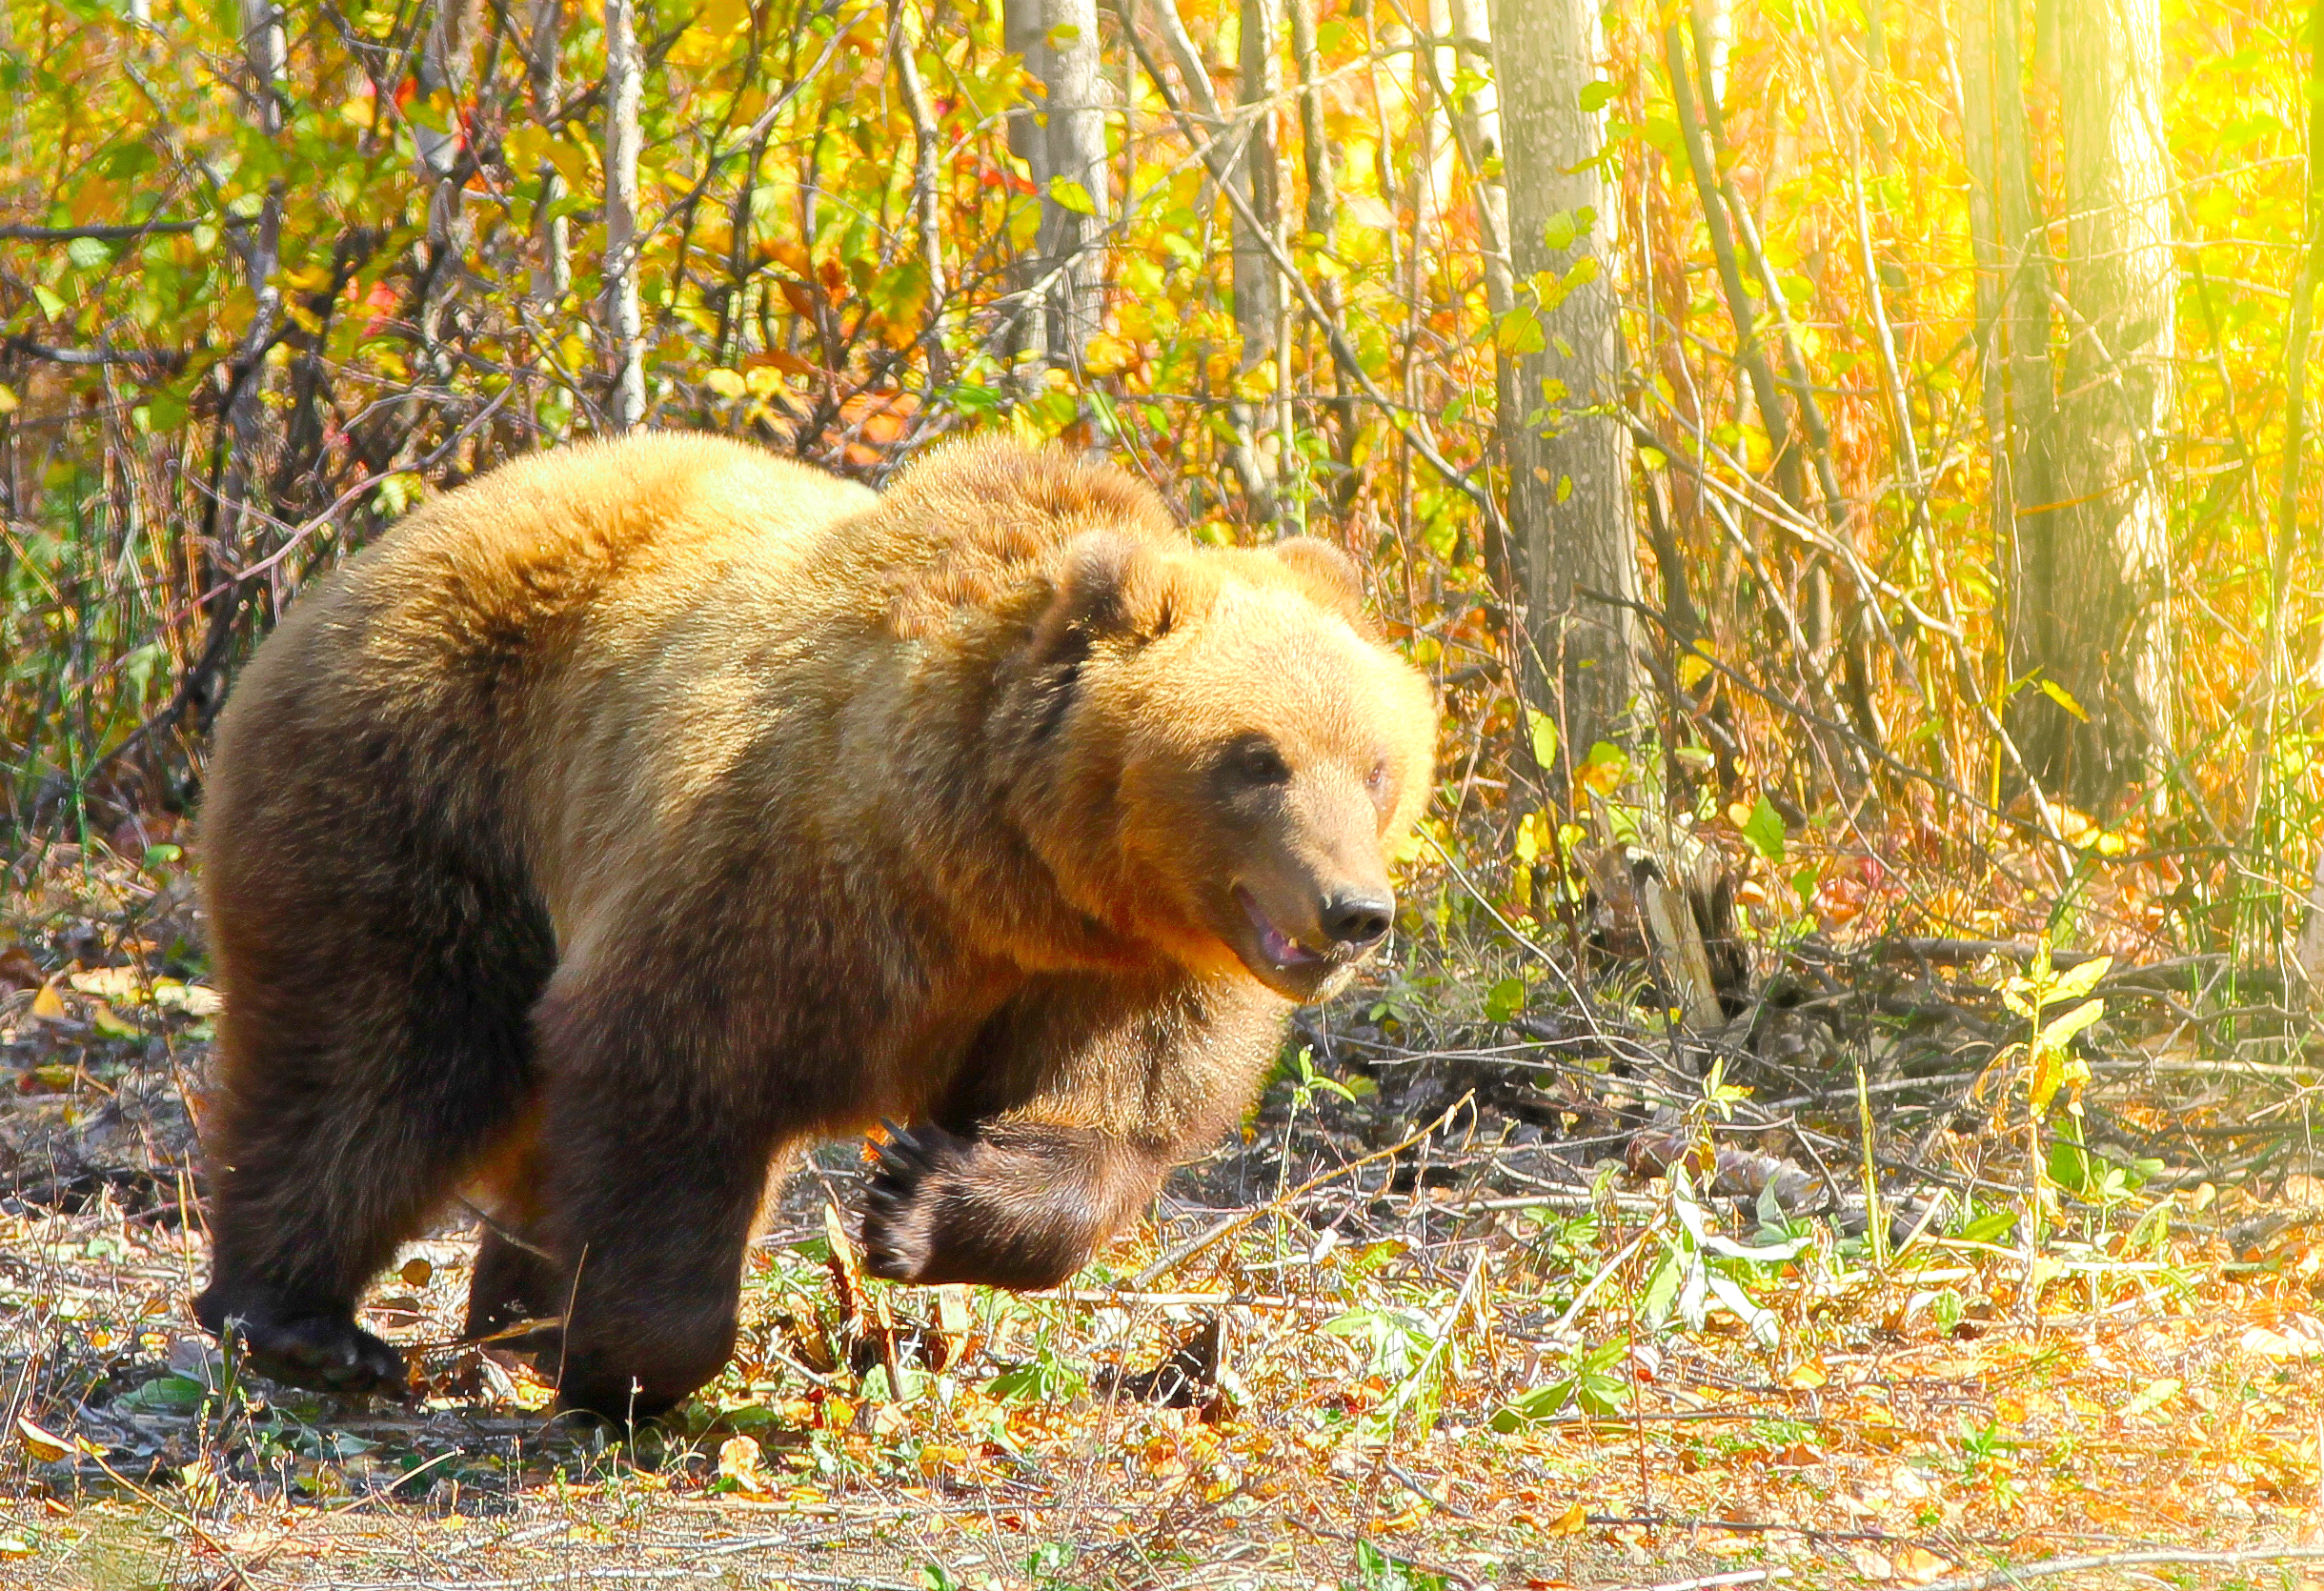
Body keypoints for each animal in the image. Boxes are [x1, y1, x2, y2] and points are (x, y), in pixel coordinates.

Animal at [191, 432, 1437, 1420]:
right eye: (1255, 757)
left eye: (1377, 762)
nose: (1353, 910)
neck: (987, 868)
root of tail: (374, 551)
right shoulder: (785, 879)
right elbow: (673, 1068)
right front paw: (620, 1356)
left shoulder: (1121, 969)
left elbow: (1110, 1116)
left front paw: (915, 1198)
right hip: (431, 782)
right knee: (380, 1054)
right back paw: (303, 1322)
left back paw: (501, 1302)